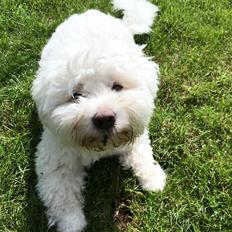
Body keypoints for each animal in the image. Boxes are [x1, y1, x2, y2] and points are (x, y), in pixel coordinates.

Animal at [31, 0, 166, 231]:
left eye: (118, 87)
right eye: (76, 95)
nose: (104, 118)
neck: (101, 145)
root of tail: (91, 13)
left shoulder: (136, 132)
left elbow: (143, 154)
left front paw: (153, 178)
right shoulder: (54, 160)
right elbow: (61, 196)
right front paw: (72, 223)